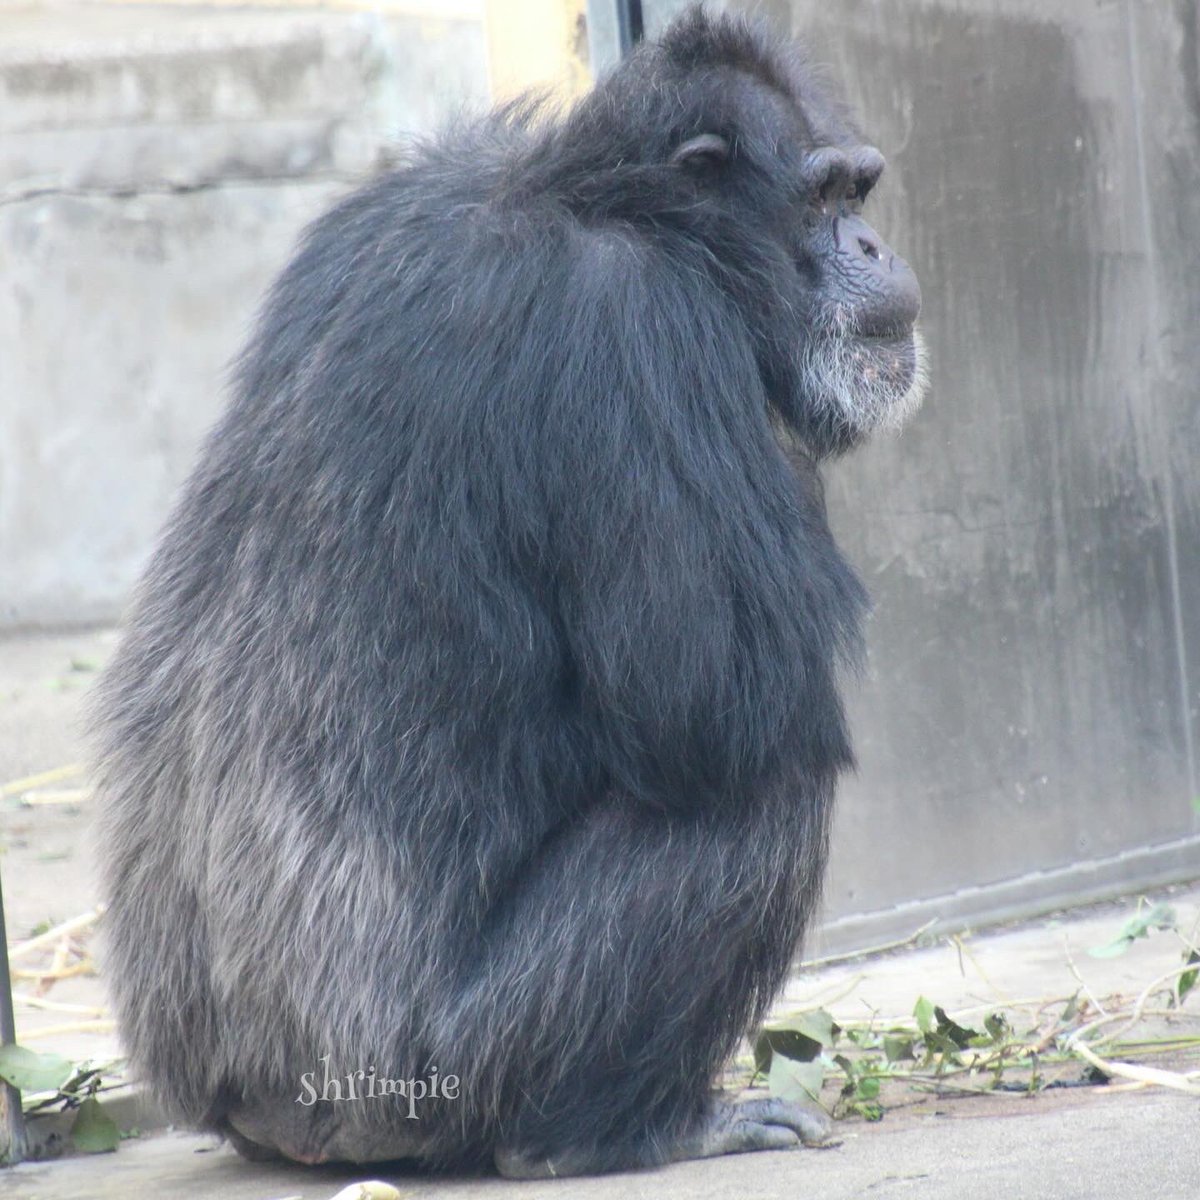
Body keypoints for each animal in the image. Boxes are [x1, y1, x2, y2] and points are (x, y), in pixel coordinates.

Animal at [93, 4, 926, 1176]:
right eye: (822, 199)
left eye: (861, 190)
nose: (870, 245)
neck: (586, 204)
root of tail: (262, 1106)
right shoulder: (632, 329)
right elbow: (713, 706)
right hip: (439, 1076)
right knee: (757, 794)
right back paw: (611, 1131)